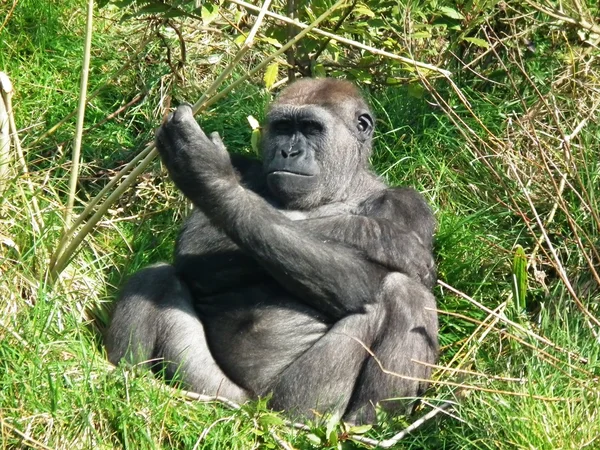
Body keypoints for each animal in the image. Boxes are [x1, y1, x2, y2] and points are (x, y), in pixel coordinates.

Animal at [106, 77, 436, 422]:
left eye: (311, 128)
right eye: (282, 127)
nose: (288, 152)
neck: (342, 187)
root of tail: (250, 411)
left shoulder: (408, 203)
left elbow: (365, 276)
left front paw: (208, 176)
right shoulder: (244, 165)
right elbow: (198, 246)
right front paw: (380, 237)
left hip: (297, 408)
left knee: (406, 293)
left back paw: (365, 424)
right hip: (212, 392)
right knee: (155, 277)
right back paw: (131, 380)